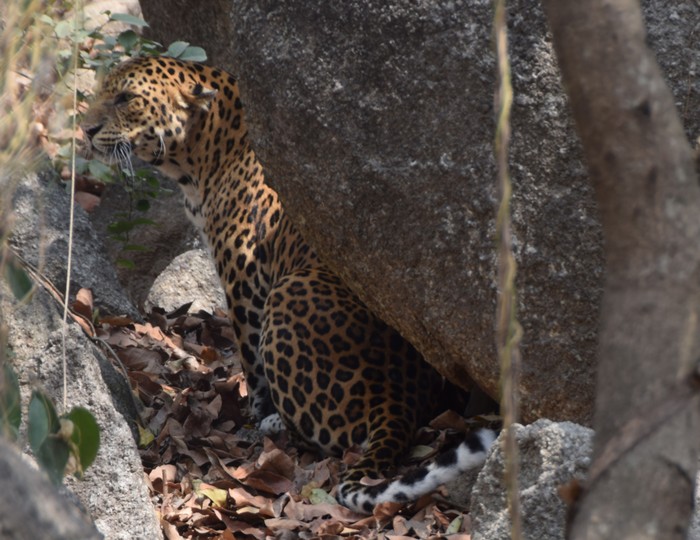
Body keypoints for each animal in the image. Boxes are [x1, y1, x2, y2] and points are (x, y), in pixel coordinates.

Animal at [83, 56, 498, 516]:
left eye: (126, 98)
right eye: (103, 91)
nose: (85, 129)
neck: (205, 153)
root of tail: (398, 405)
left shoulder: (244, 279)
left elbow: (252, 359)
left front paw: (252, 417)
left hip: (291, 289)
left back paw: (275, 423)